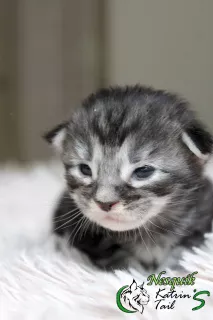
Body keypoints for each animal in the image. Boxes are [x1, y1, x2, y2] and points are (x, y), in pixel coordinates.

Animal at [44, 85, 213, 270]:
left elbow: (183, 254)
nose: (105, 203)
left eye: (143, 171)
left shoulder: (200, 225)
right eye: (85, 169)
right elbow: (120, 260)